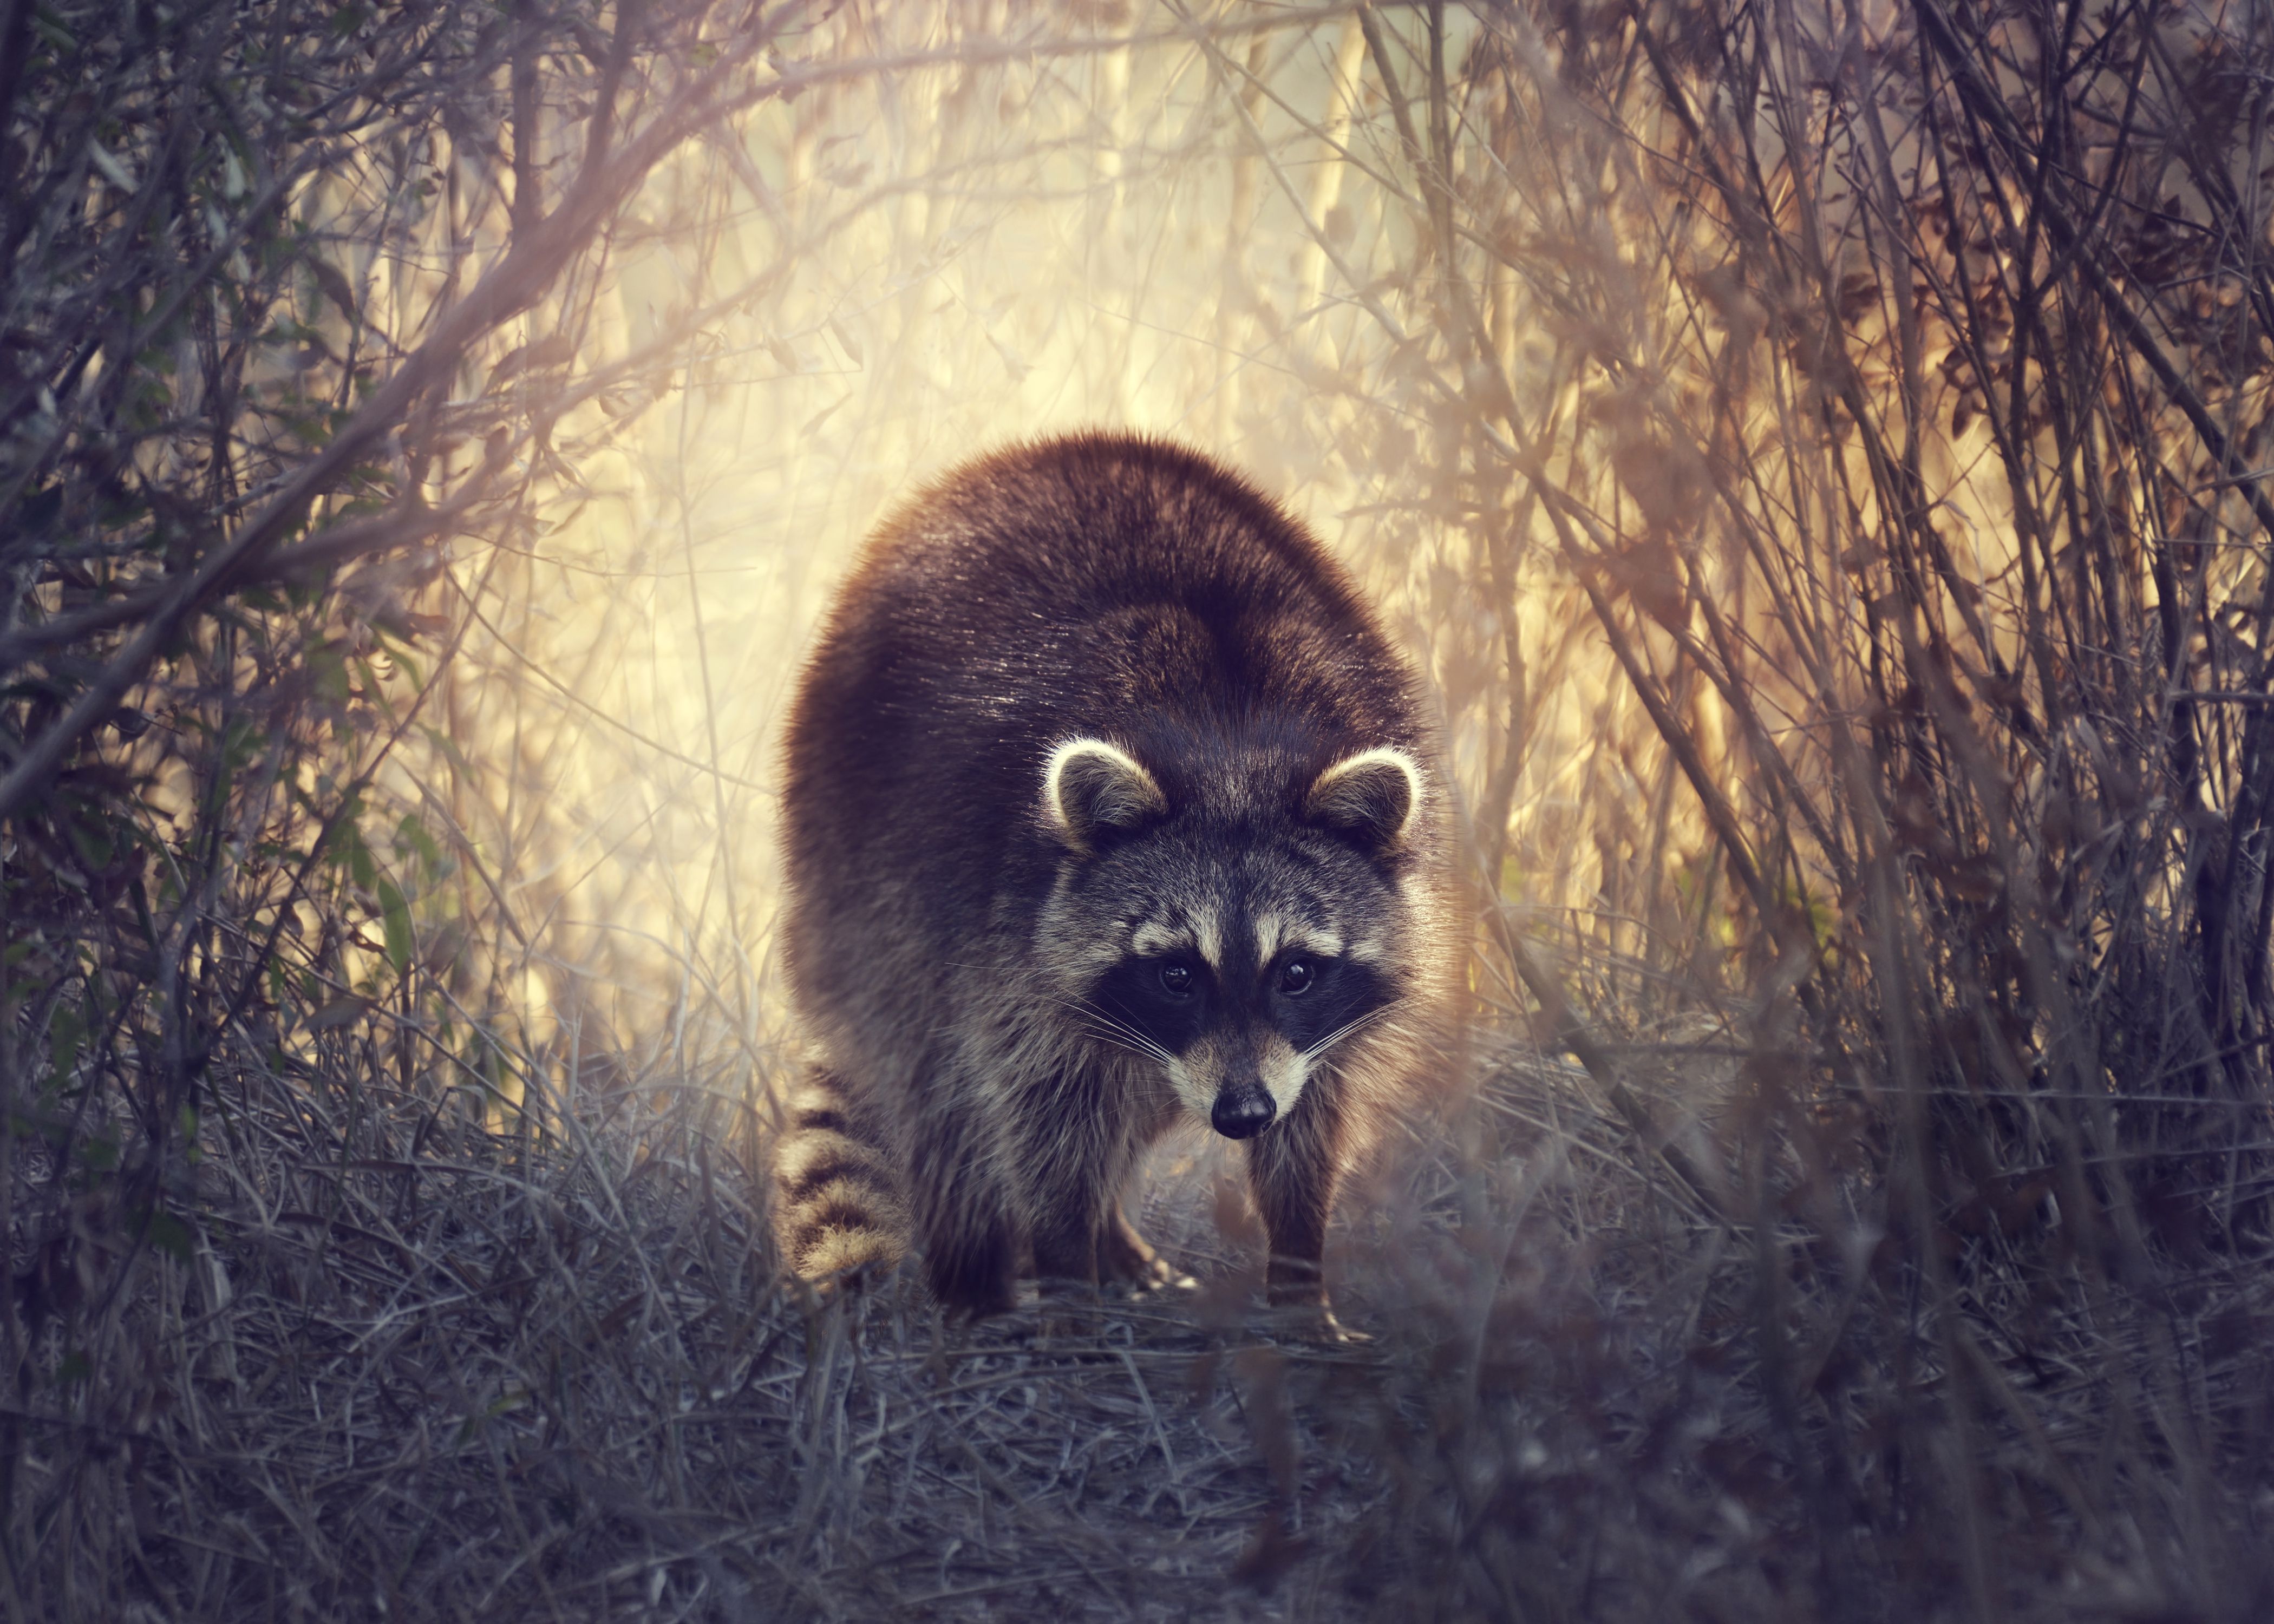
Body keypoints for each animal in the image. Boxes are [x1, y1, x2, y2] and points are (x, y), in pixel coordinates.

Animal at [772, 433, 1462, 1316]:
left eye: (1297, 972)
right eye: (1176, 973)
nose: (1242, 1114)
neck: (1230, 747)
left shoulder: (1318, 1029)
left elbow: (1313, 1116)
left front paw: (1300, 1272)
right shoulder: (998, 921)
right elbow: (1038, 1108)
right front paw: (1068, 1265)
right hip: (859, 864)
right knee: (942, 1090)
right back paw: (978, 1281)